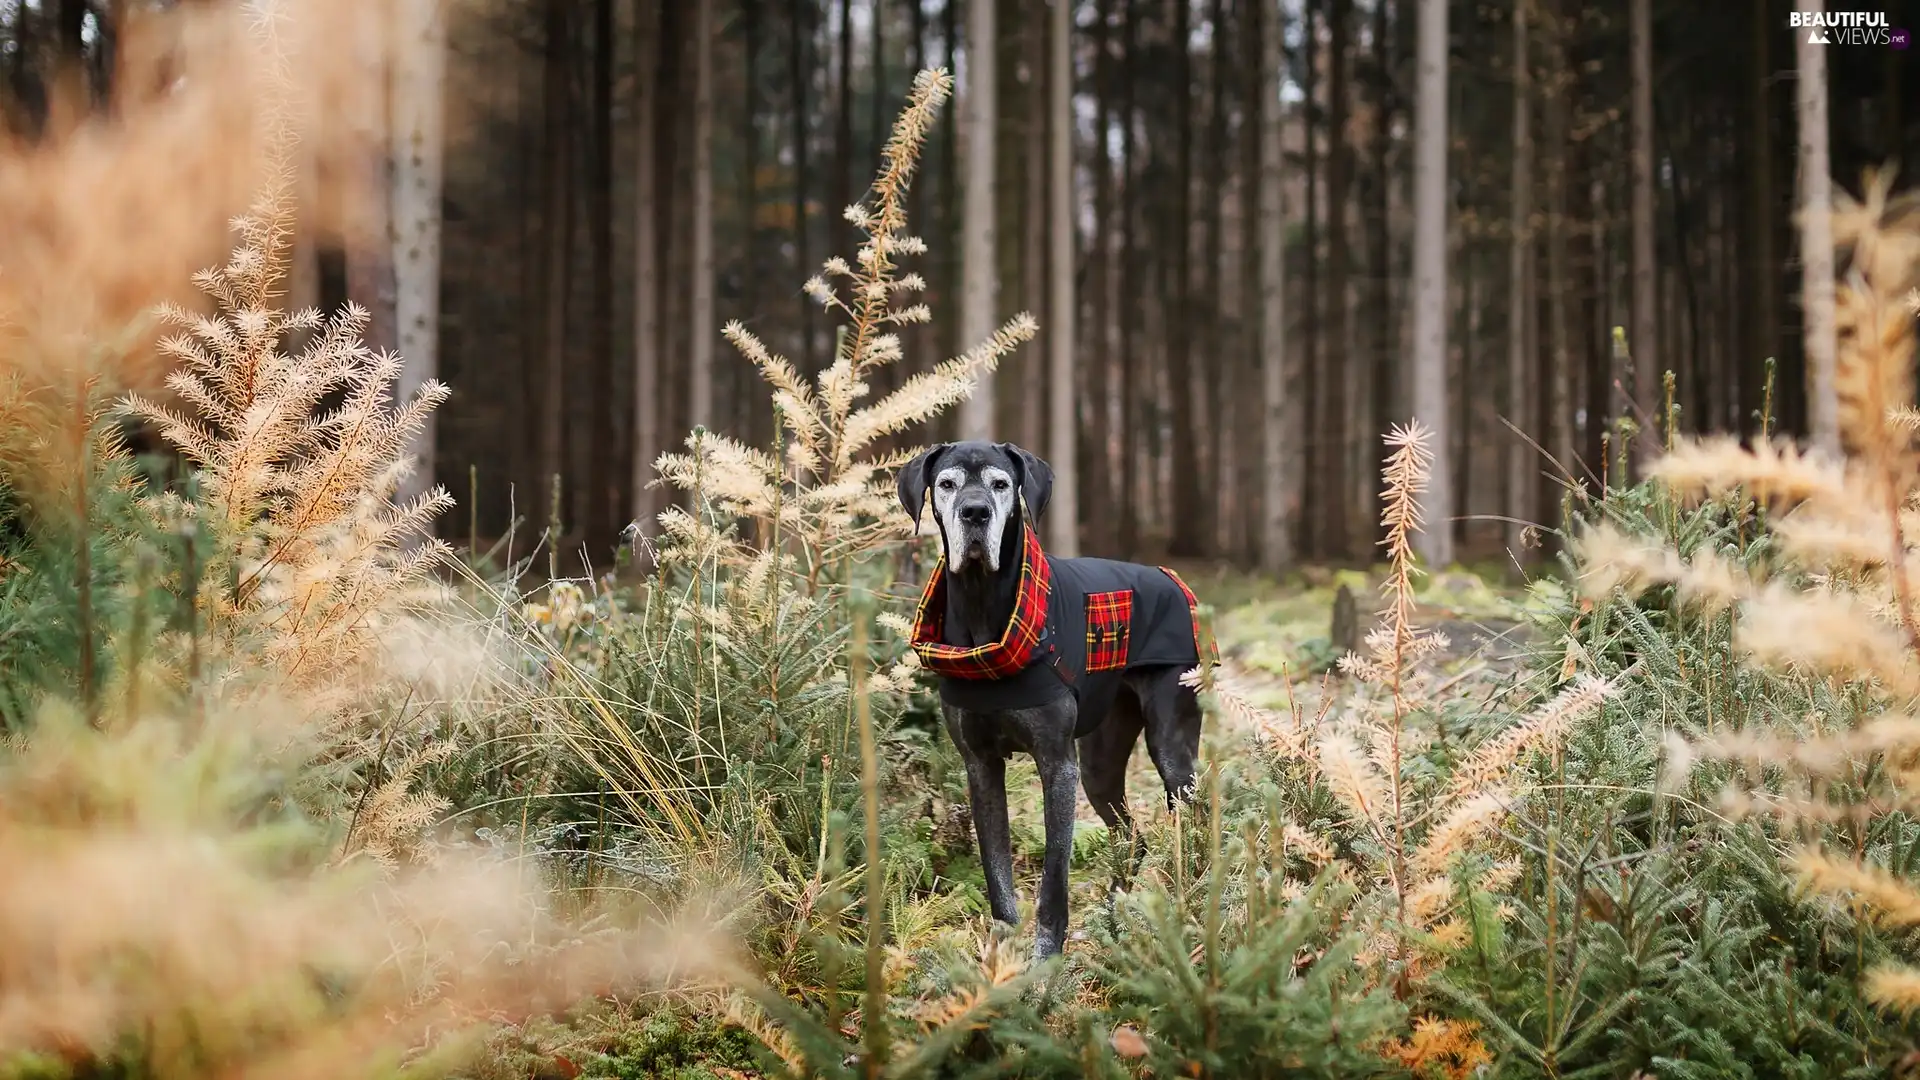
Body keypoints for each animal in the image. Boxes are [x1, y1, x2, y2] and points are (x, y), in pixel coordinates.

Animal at [902, 438, 1213, 957]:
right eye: (945, 484)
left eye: (1000, 484)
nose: (974, 512)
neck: (985, 606)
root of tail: (1173, 579)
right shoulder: (980, 765)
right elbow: (996, 871)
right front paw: (1001, 955)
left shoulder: (1056, 764)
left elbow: (1053, 879)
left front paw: (1045, 957)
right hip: (1100, 761)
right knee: (1132, 837)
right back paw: (1114, 915)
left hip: (1170, 746)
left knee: (1193, 821)